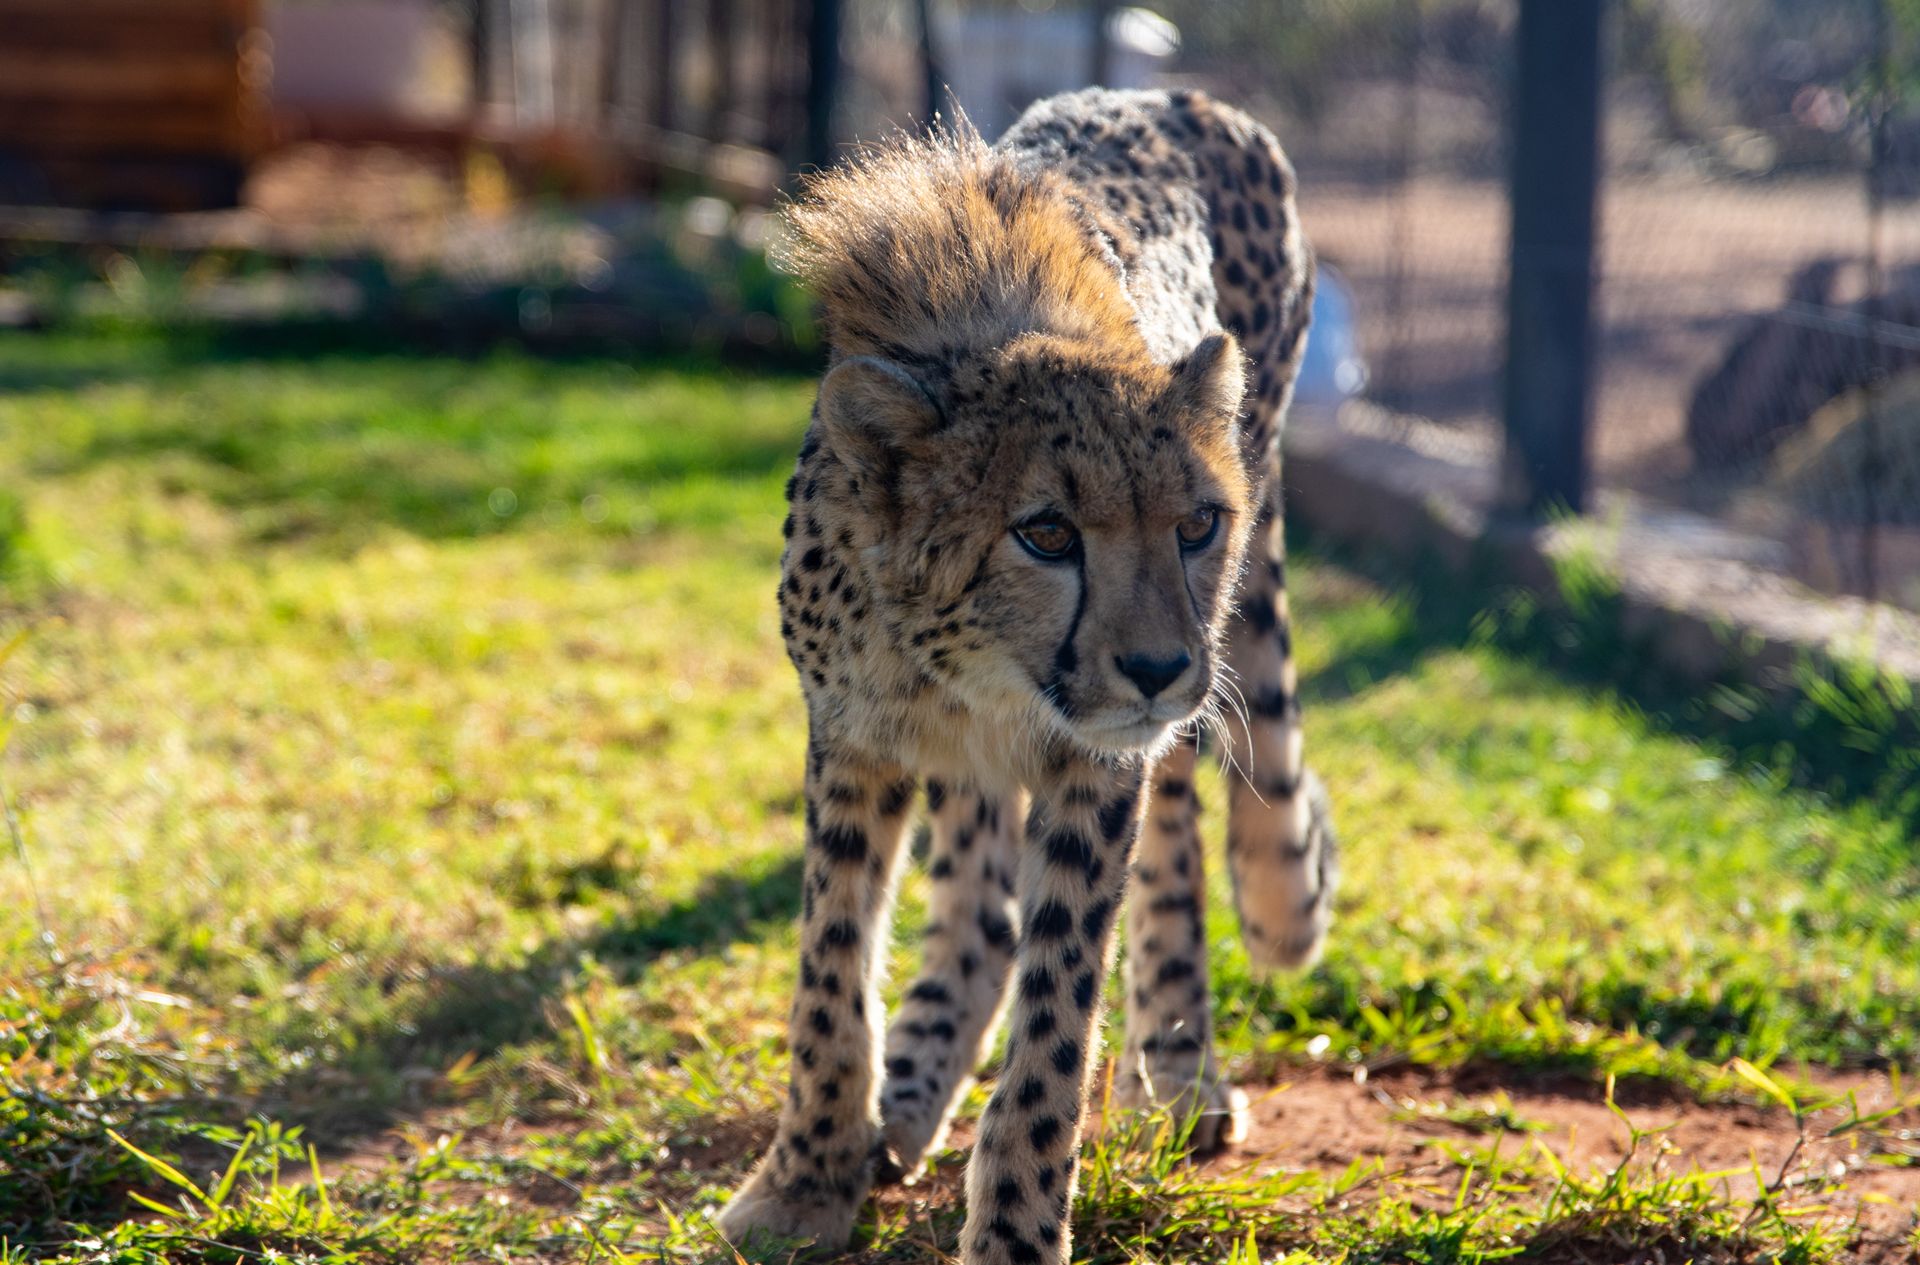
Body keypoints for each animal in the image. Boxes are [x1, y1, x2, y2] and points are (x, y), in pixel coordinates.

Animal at [716, 87, 1337, 1265]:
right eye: (1045, 533)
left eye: (1197, 524)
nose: (1158, 667)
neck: (976, 662)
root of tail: (1181, 96)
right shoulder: (856, 732)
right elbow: (831, 968)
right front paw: (805, 1178)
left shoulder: (1097, 762)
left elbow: (1055, 1023)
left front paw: (1012, 1225)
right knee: (980, 899)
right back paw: (914, 1085)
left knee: (1175, 837)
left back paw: (1176, 1067)